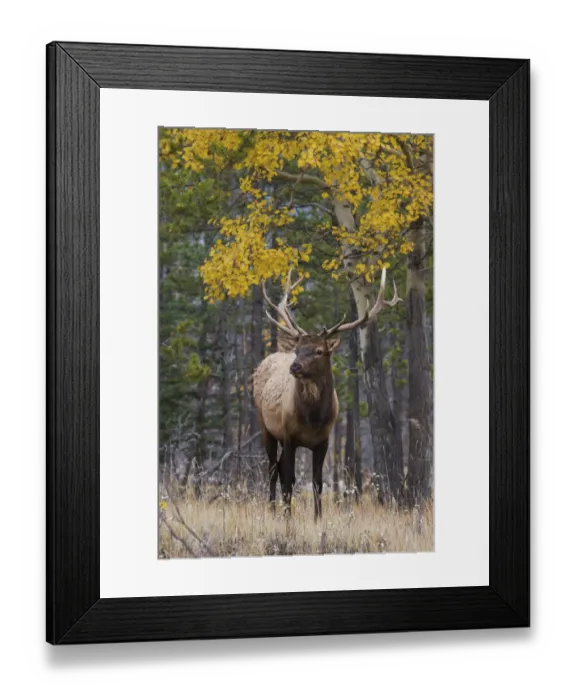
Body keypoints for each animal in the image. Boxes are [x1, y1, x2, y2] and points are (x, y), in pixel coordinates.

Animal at [251, 267, 400, 521]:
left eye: (319, 351)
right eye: (298, 350)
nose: (295, 367)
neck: (312, 419)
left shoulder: (324, 440)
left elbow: (317, 482)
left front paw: (317, 517)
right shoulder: (289, 435)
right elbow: (290, 480)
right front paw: (288, 517)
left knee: (278, 469)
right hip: (265, 426)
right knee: (272, 470)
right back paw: (272, 510)